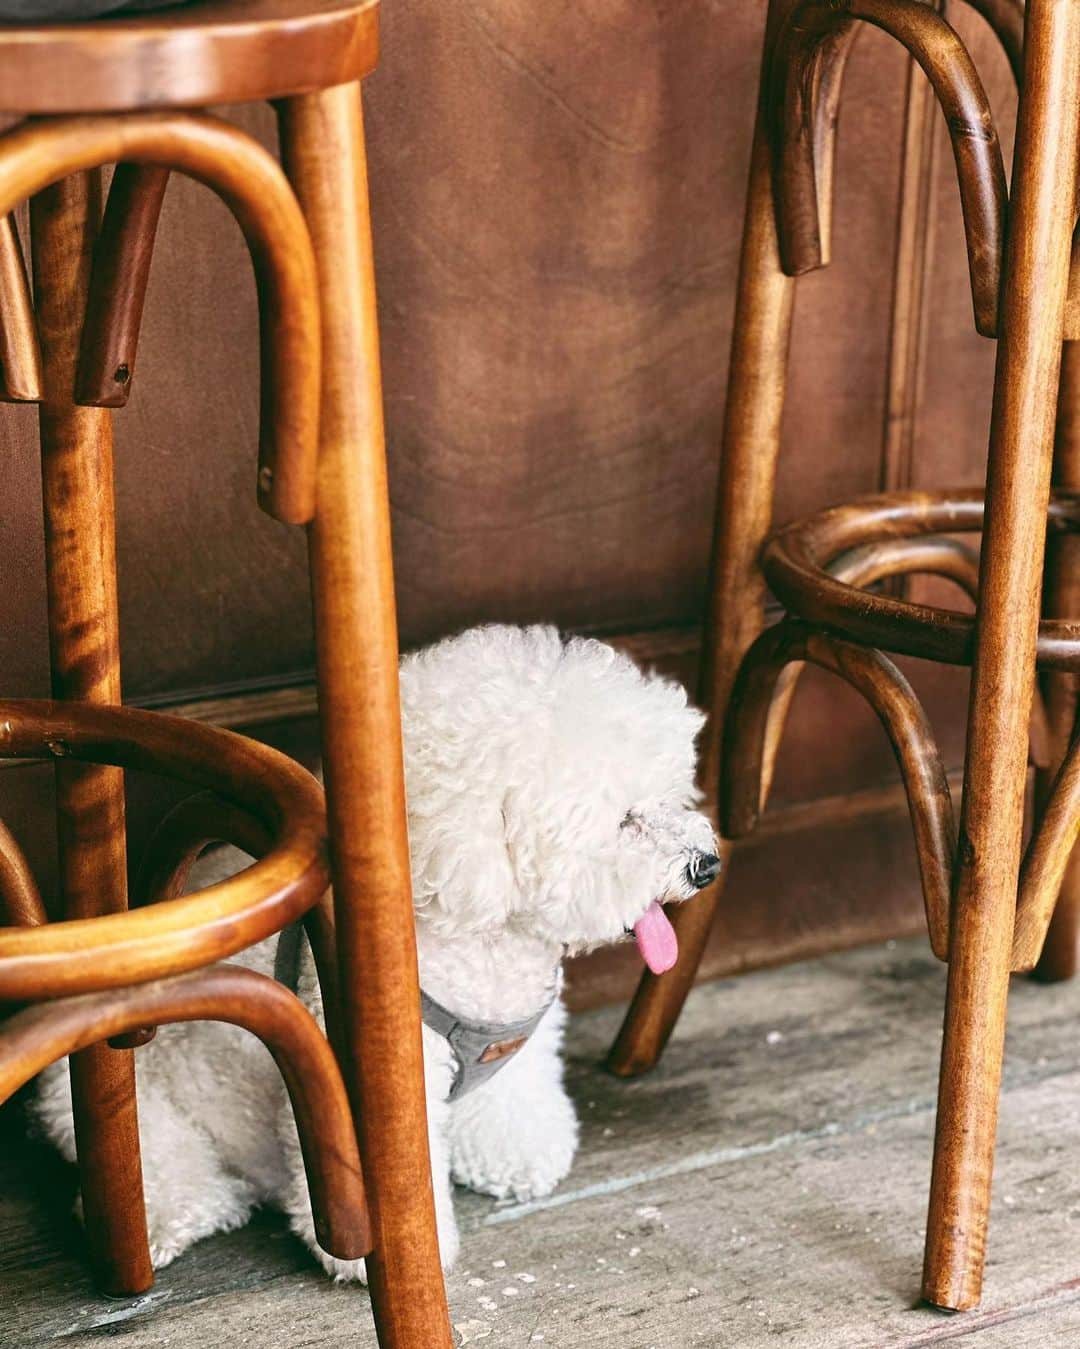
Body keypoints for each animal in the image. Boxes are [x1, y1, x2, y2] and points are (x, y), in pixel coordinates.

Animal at [33, 620, 722, 1273]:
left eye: (669, 793)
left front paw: (518, 1156)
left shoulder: (514, 1048)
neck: (480, 935)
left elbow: (510, 1103)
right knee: (167, 1171)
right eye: (623, 819)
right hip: (111, 1106)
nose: (707, 865)